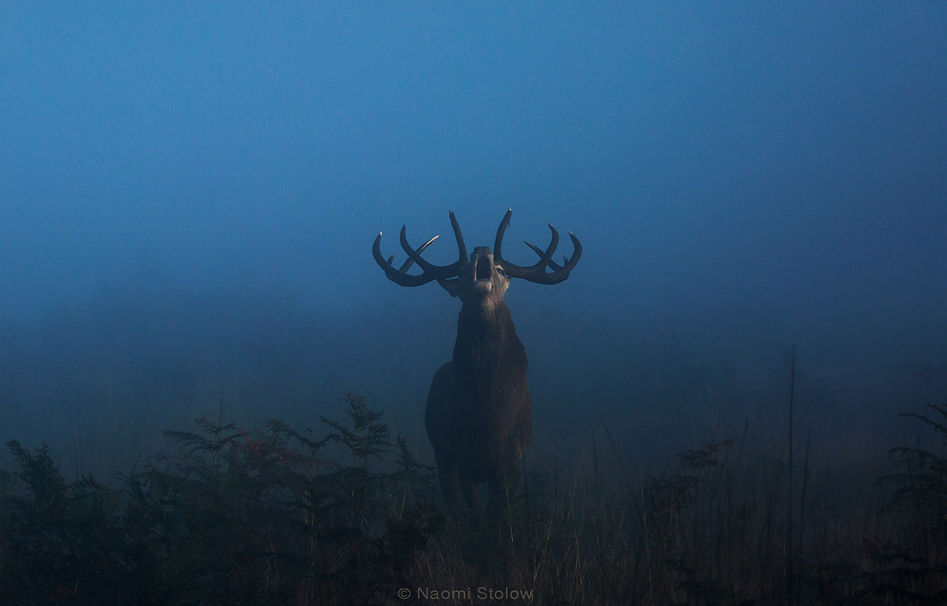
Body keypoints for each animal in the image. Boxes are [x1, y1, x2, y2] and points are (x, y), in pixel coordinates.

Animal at [372, 210, 581, 515]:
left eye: (502, 271)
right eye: (460, 273)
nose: (482, 249)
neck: (485, 418)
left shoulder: (511, 461)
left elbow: (496, 518)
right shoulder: (448, 457)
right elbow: (464, 518)